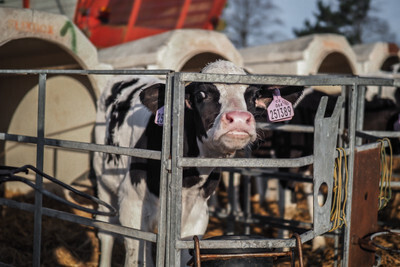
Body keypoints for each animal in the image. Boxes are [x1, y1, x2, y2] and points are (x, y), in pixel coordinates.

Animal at [93, 60, 304, 266]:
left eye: (253, 96)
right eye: (201, 94)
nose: (239, 119)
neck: (186, 180)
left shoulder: (197, 214)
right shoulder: (132, 205)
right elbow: (136, 256)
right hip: (103, 181)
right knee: (106, 233)